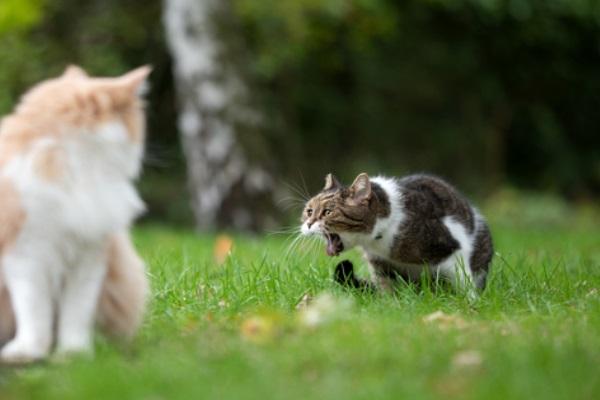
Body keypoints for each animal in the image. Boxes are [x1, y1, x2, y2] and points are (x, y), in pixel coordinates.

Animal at [0, 65, 152, 362]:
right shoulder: (26, 258)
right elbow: (34, 312)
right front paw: (28, 351)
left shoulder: (89, 258)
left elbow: (76, 314)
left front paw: (73, 354)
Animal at [302, 173, 494, 296]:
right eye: (309, 211)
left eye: (327, 212)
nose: (308, 224)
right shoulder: (380, 264)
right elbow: (387, 289)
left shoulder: (451, 247)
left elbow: (463, 281)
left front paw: (470, 304)